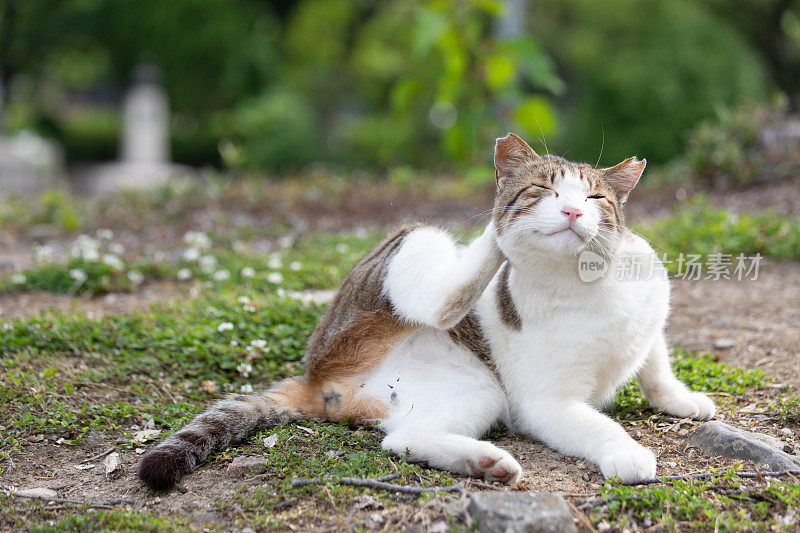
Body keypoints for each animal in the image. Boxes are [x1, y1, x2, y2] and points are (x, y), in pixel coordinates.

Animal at [136, 133, 712, 490]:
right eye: (542, 190)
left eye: (595, 199)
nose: (570, 211)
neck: (589, 284)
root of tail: (315, 375)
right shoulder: (546, 405)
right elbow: (596, 426)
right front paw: (626, 452)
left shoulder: (650, 312)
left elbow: (656, 364)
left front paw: (681, 400)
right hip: (405, 258)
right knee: (442, 289)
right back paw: (492, 238)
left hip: (471, 391)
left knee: (404, 438)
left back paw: (485, 461)